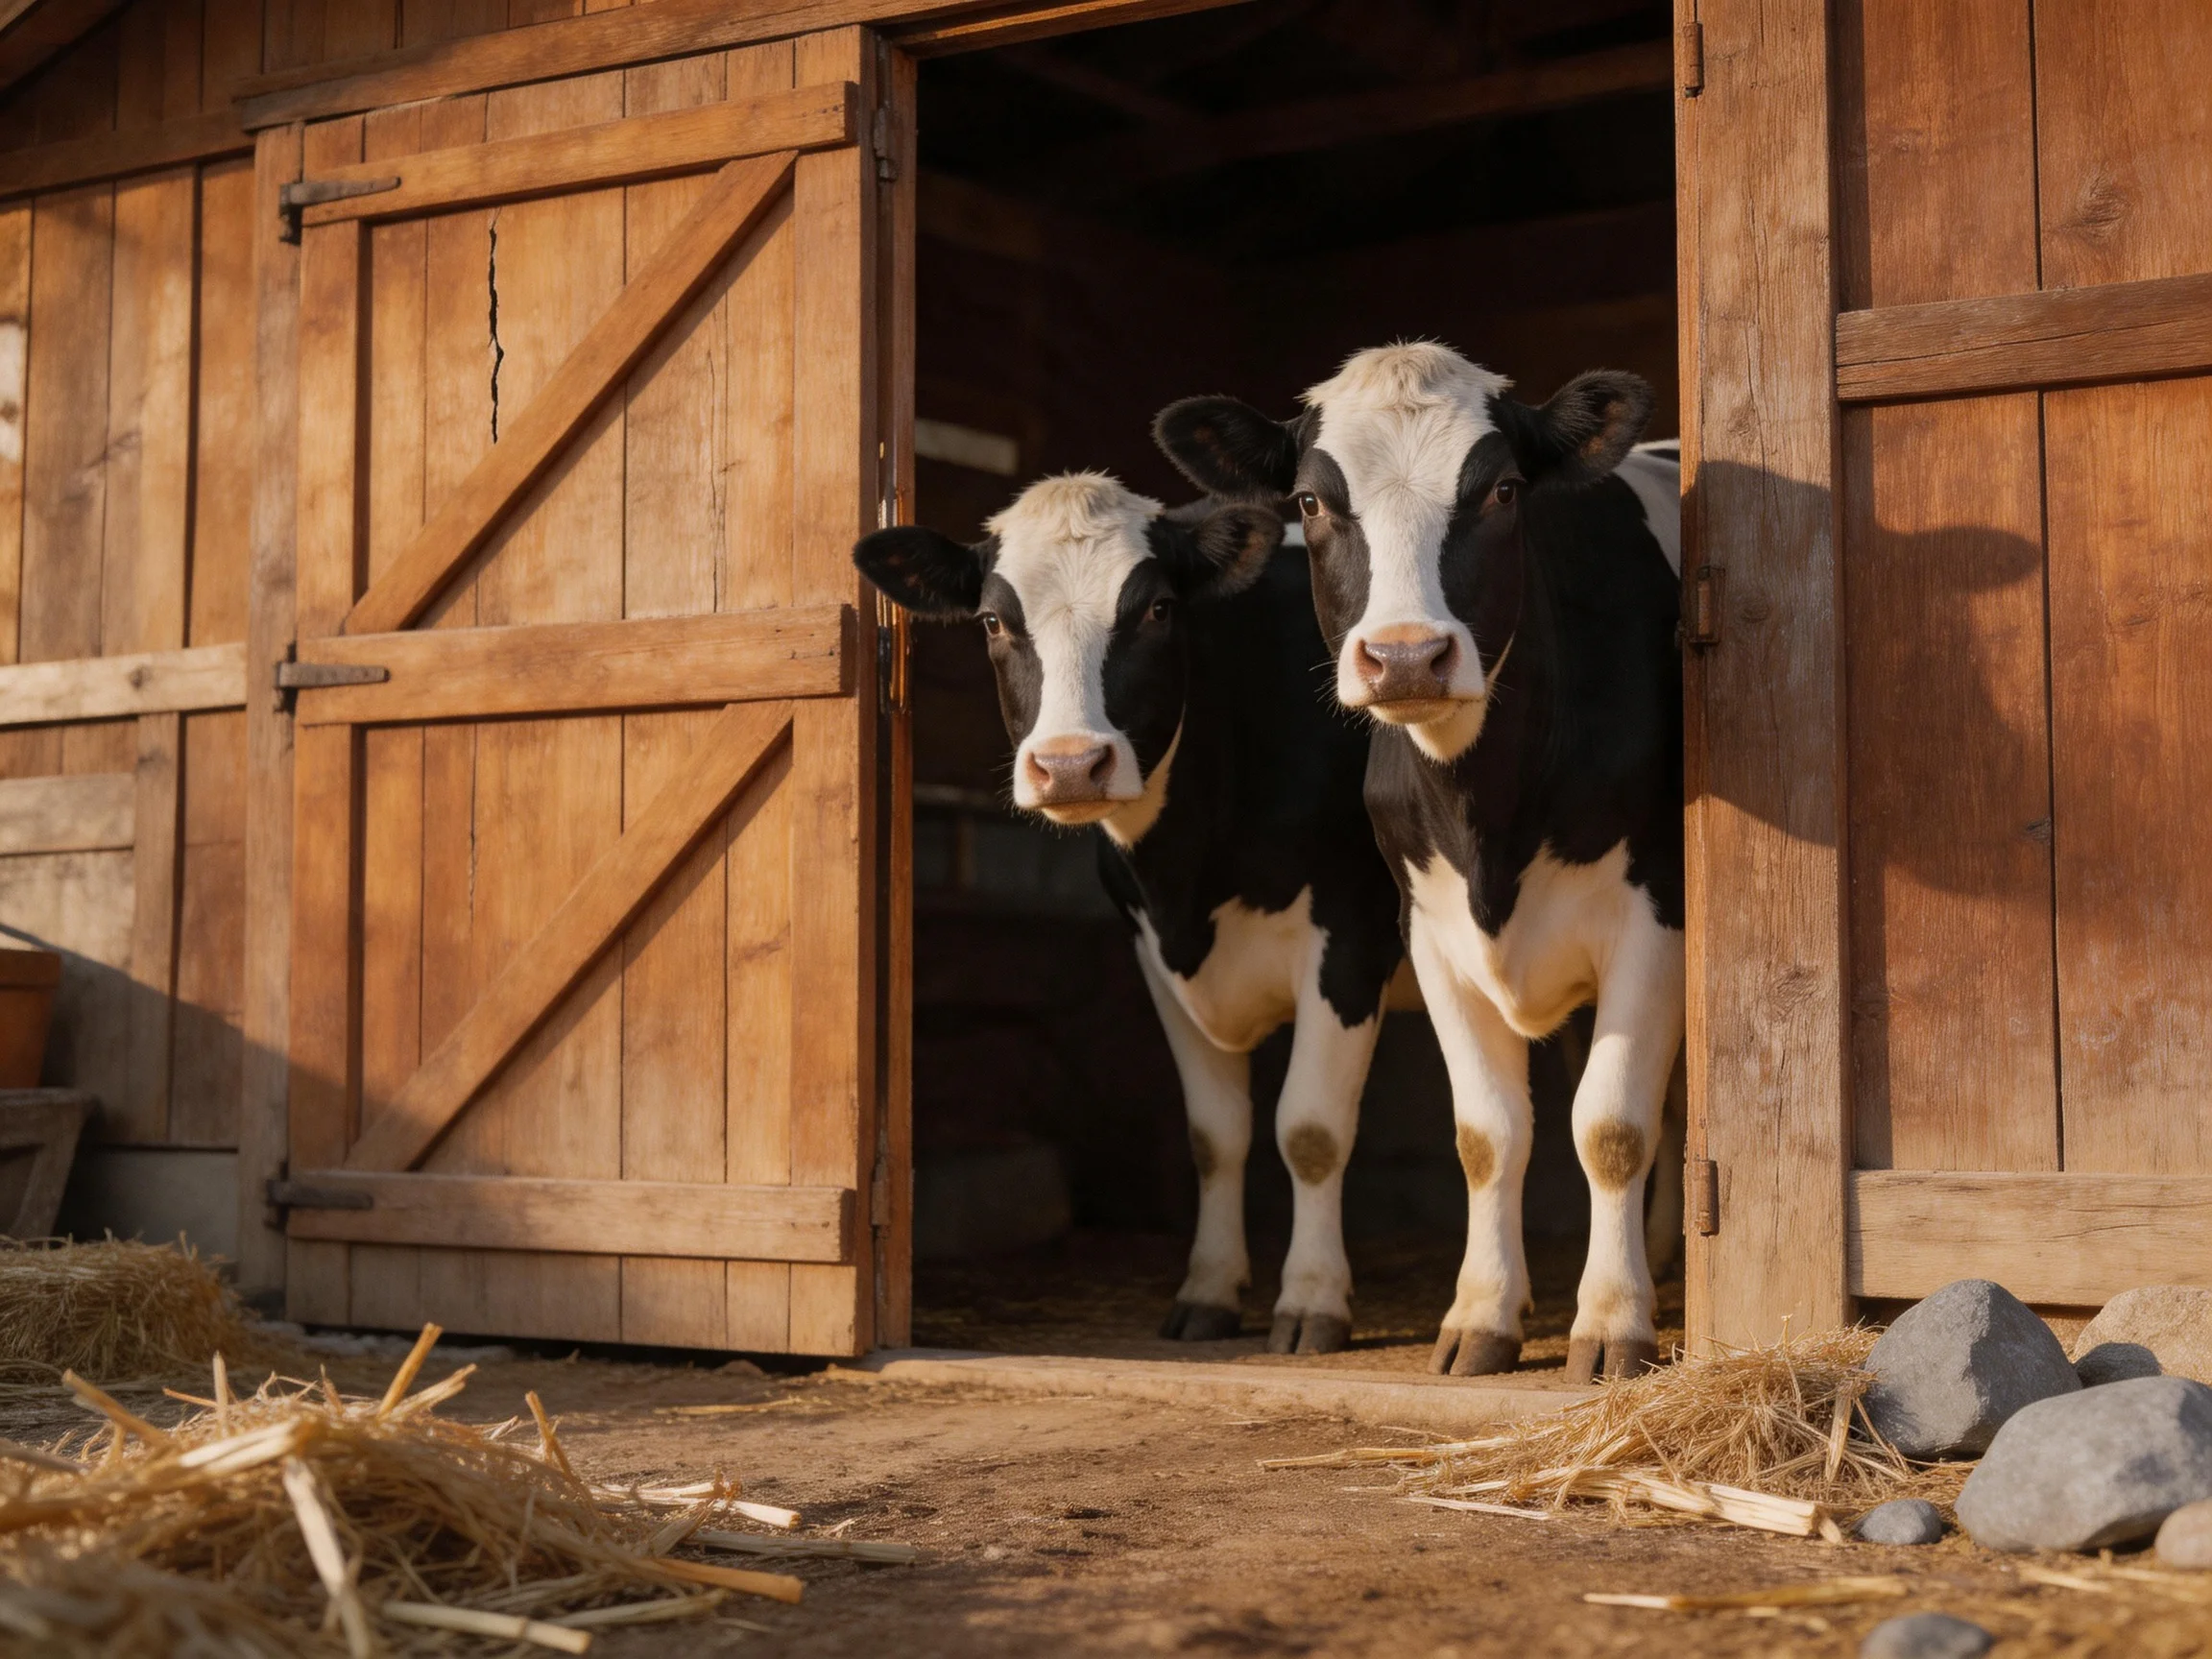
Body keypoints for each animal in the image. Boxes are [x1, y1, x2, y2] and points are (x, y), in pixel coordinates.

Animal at [853, 474, 1409, 1354]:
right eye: (994, 621)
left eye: (1155, 609)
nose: (1070, 764)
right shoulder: (1156, 949)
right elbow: (1215, 1136)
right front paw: (1208, 1292)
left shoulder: (1351, 933)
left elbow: (1311, 1130)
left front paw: (1312, 1302)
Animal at [1155, 342, 1685, 1382]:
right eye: (1312, 502)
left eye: (1505, 490)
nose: (1405, 658)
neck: (1489, 817)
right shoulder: (1431, 930)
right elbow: (1488, 1133)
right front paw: (1483, 1314)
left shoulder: (1655, 915)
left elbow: (1610, 1126)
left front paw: (1612, 1323)